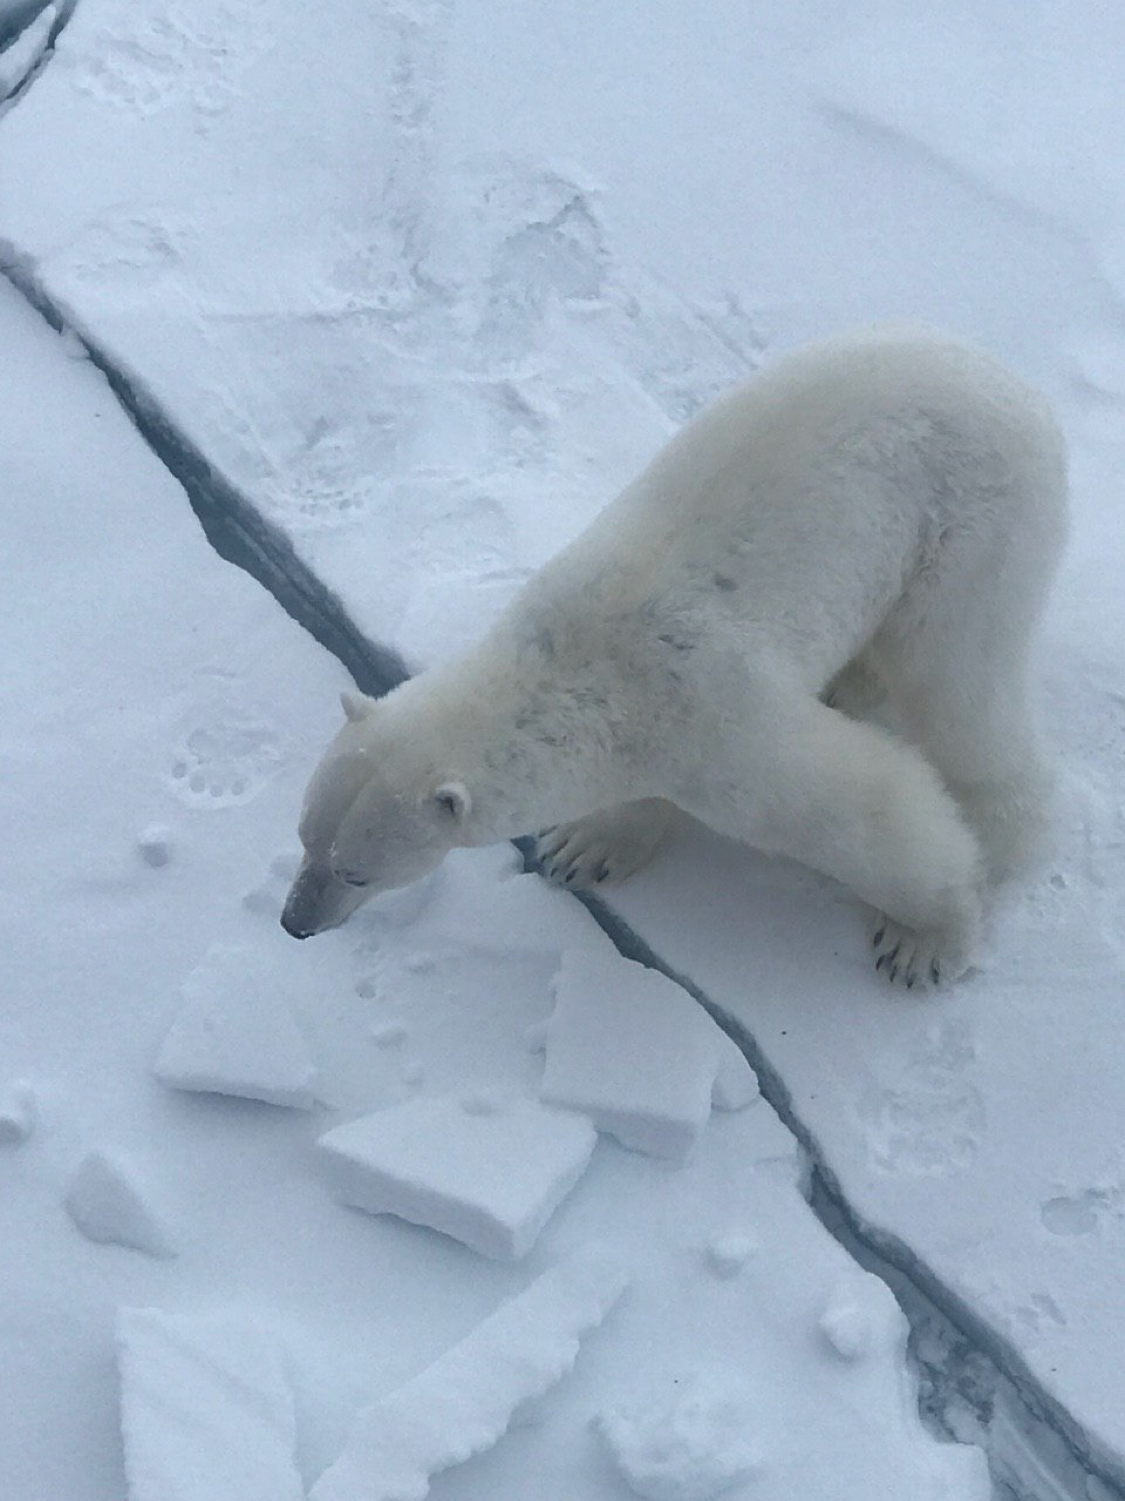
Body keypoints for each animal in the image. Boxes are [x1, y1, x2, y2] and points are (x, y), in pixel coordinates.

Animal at [280, 327, 1068, 984]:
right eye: (304, 837)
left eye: (356, 873)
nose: (294, 923)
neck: (585, 668)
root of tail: (1020, 389)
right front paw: (587, 846)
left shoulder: (719, 720)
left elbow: (865, 808)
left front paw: (923, 940)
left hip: (972, 530)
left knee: (955, 680)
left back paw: (1000, 833)